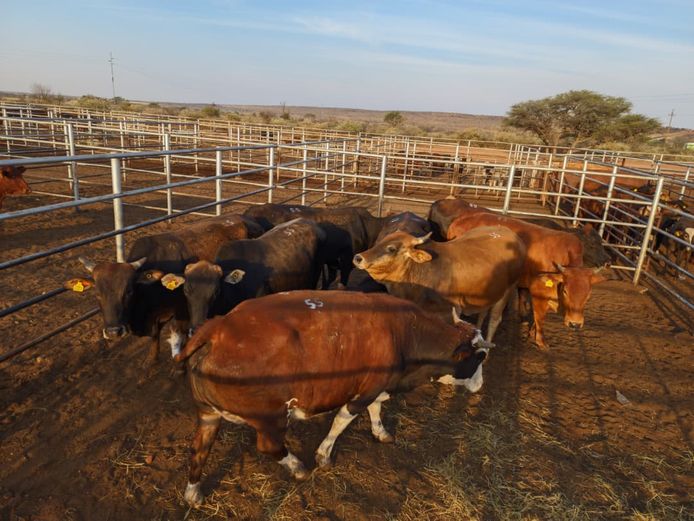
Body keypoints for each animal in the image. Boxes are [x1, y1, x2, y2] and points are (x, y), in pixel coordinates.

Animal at [66, 215, 264, 371]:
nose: (114, 332)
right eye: (97, 293)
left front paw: (180, 367)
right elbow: (155, 337)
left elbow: (181, 338)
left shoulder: (182, 311)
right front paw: (151, 360)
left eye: (129, 290)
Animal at [173, 290, 491, 506]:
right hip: (270, 417)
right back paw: (298, 467)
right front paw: (323, 455)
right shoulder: (364, 391)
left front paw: (380, 432)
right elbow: (342, 420)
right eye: (480, 357)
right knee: (268, 446)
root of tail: (217, 328)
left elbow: (376, 409)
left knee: (199, 447)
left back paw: (192, 493)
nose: (481, 386)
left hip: (208, 413)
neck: (404, 333)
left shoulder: (377, 385)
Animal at [353, 227, 526, 343]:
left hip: (507, 291)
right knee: (483, 312)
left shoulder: (452, 310)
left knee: (494, 320)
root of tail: (515, 237)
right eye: (381, 241)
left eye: (391, 248)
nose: (358, 258)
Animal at [447, 213, 610, 349]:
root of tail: (460, 219)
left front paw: (532, 332)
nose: (575, 324)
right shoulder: (538, 292)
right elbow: (539, 316)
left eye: (588, 295)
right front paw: (541, 341)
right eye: (565, 291)